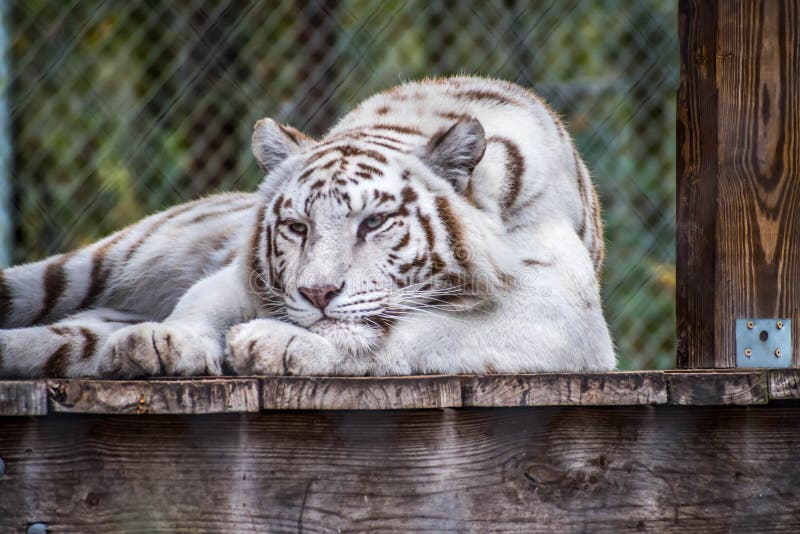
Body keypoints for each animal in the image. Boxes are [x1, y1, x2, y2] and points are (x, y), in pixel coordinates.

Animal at [0, 76, 616, 382]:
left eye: (375, 222)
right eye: (296, 226)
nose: (317, 293)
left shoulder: (563, 314)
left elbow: (410, 331)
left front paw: (276, 343)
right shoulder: (238, 276)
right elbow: (202, 303)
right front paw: (166, 342)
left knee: (69, 339)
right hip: (94, 264)